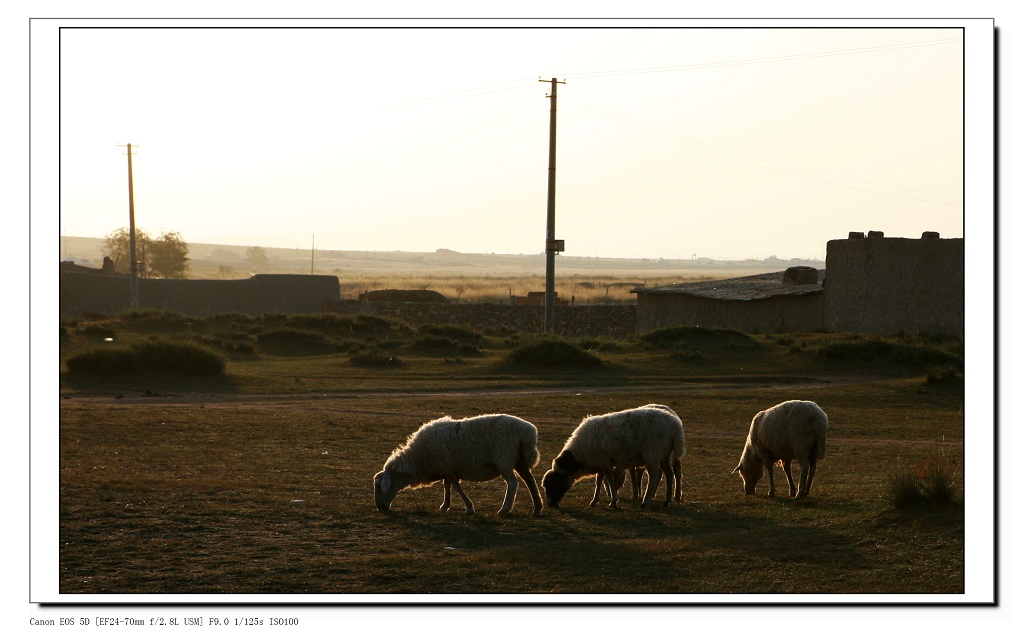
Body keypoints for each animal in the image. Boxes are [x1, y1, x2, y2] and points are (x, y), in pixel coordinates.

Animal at [374, 411, 544, 516]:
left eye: (379, 487)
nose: (380, 508)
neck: (418, 458)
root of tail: (528, 432)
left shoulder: (448, 470)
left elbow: (456, 487)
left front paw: (469, 508)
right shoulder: (446, 468)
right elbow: (447, 486)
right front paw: (445, 506)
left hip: (503, 459)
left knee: (513, 483)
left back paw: (505, 509)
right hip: (519, 460)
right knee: (530, 481)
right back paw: (537, 508)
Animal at [540, 403, 684, 509]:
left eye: (552, 484)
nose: (550, 504)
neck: (580, 454)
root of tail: (675, 424)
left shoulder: (604, 461)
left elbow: (608, 478)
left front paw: (613, 501)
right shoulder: (600, 461)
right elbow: (599, 479)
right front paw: (595, 500)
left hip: (652, 453)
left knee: (654, 476)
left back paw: (646, 501)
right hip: (665, 454)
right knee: (669, 474)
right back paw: (667, 500)